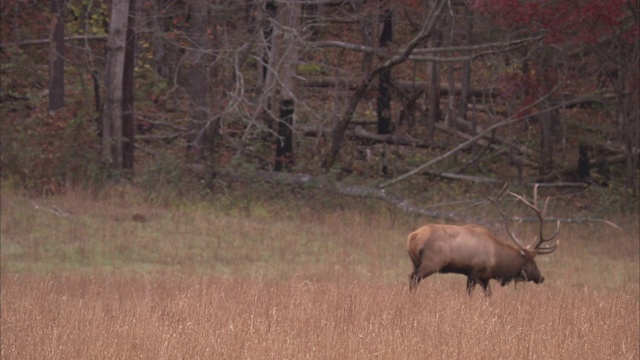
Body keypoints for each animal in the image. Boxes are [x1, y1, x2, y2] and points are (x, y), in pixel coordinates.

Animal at [410, 184, 560, 296]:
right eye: (532, 262)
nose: (541, 277)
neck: (497, 259)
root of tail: (413, 236)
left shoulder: (484, 277)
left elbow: (489, 295)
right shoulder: (474, 271)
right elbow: (469, 293)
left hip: (415, 262)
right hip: (432, 262)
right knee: (414, 278)